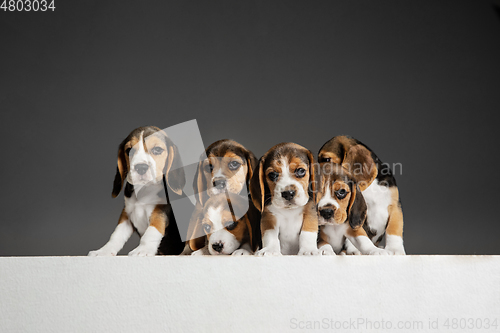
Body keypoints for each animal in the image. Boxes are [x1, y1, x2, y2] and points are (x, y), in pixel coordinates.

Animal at [88, 126, 186, 255]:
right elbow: (116, 235)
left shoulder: (161, 212)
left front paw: (143, 249)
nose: (141, 167)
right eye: (129, 150)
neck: (144, 190)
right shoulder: (127, 214)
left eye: (157, 150)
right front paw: (104, 251)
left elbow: (151, 232)